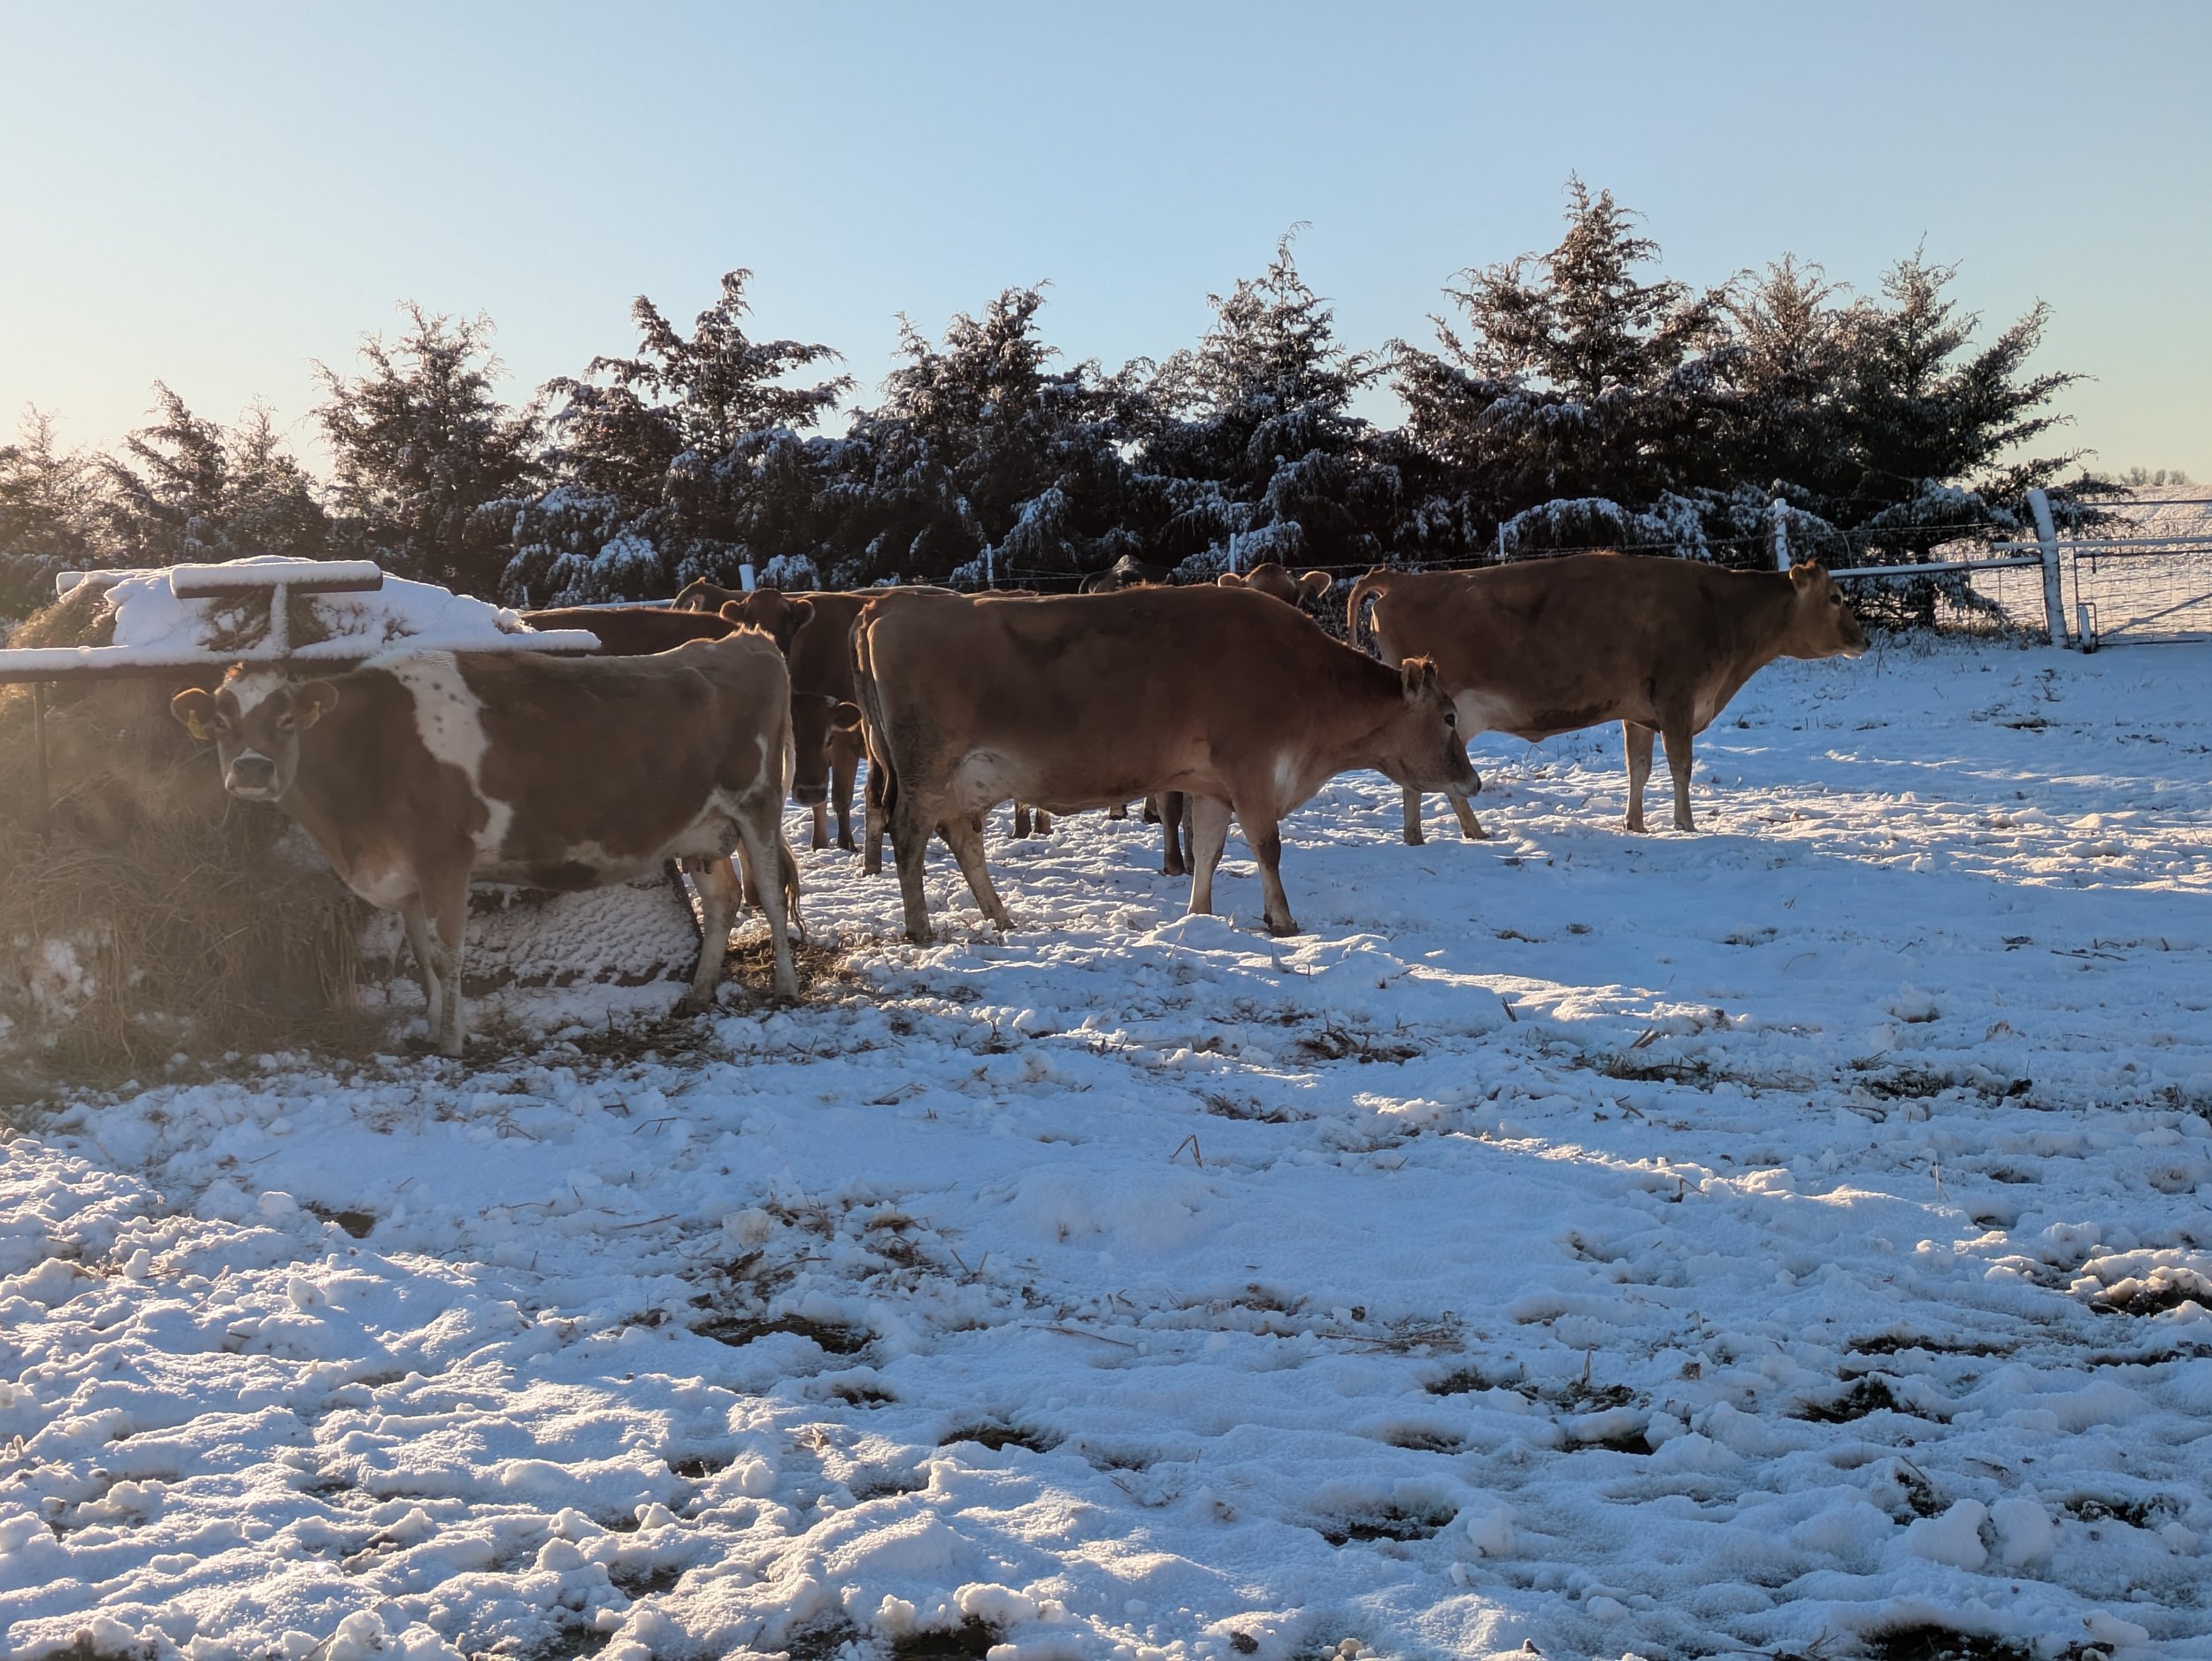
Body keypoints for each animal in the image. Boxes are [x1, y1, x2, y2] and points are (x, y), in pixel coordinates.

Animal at [169, 636, 801, 1058]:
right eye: (222, 721)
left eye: (286, 719)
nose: (252, 770)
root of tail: (742, 639)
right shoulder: (407, 877)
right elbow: (422, 955)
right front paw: (430, 1028)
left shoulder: (446, 857)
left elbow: (449, 954)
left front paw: (452, 1040)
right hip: (704, 829)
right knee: (722, 901)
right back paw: (698, 994)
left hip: (758, 805)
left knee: (769, 894)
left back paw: (786, 991)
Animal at [852, 585, 1475, 942]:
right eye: (1449, 717)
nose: (1471, 779)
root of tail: (887, 606)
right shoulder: (1251, 770)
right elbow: (1267, 847)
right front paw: (1282, 920)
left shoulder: (1213, 784)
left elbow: (1210, 848)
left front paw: (1199, 913)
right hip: (926, 769)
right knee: (909, 837)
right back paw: (920, 928)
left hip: (966, 779)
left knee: (962, 838)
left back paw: (1000, 918)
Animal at [1345, 554, 1869, 842]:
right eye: (1836, 597)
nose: (1862, 639)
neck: (1720, 609)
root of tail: (1402, 579)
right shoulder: (1677, 701)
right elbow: (1681, 766)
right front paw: (1686, 824)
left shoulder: (1639, 713)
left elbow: (1639, 767)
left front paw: (1636, 823)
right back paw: (1464, 831)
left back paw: (1423, 835)